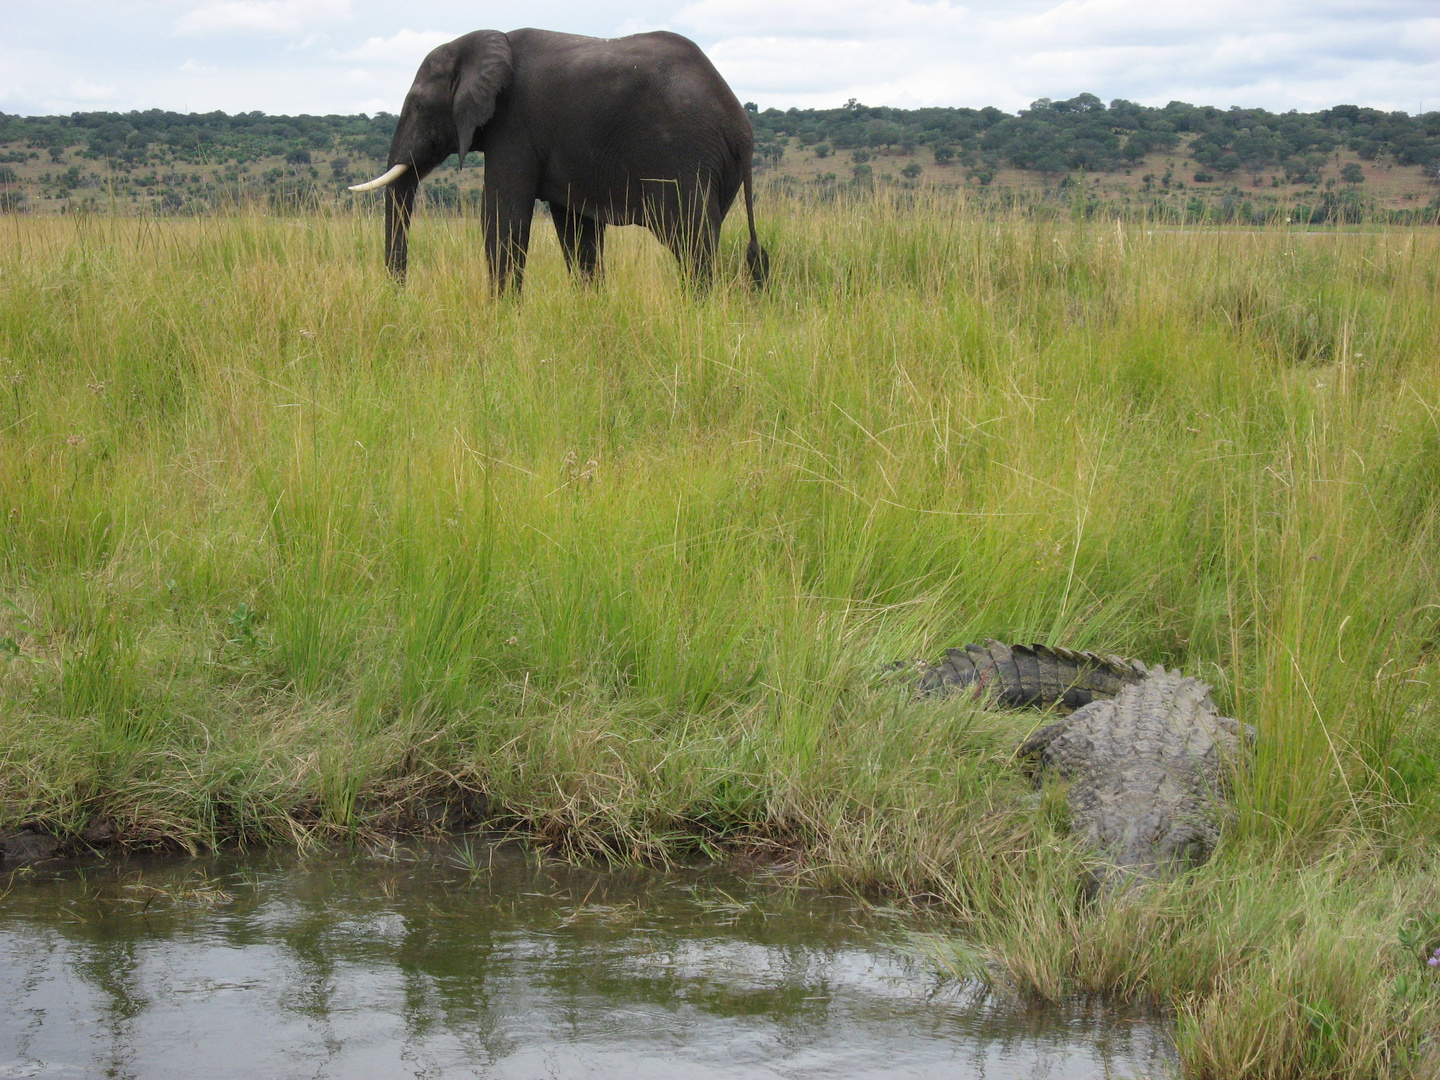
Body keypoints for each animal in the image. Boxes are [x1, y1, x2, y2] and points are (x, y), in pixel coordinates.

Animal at [349, 28, 771, 293]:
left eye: (419, 106)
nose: (399, 297)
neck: (482, 41)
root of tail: (742, 128)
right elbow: (577, 233)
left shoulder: (514, 126)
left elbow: (503, 218)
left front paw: (502, 322)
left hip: (686, 158)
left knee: (691, 242)